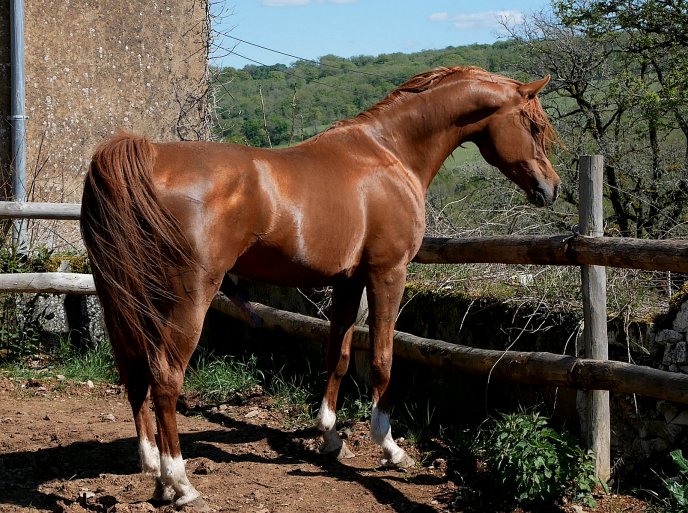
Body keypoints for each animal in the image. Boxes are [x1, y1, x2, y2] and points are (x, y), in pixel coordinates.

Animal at [80, 66, 560, 510]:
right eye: (535, 125)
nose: (551, 189)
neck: (390, 151)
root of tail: (148, 157)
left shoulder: (348, 281)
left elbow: (339, 355)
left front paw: (330, 436)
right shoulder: (387, 274)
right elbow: (383, 358)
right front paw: (389, 447)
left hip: (125, 298)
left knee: (134, 370)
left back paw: (152, 469)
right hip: (187, 299)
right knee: (165, 378)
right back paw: (179, 483)